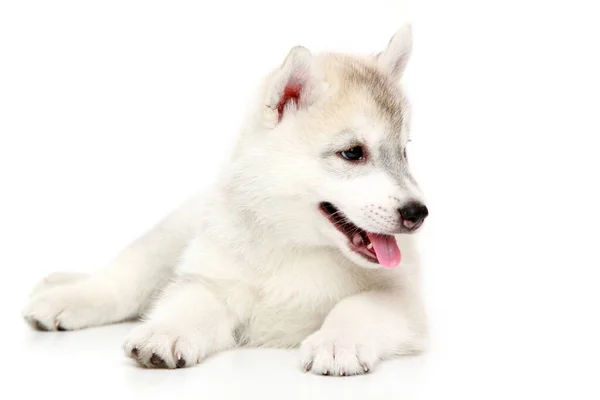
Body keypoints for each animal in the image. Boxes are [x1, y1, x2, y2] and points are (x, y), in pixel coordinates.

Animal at [22, 25, 426, 376]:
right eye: (353, 153)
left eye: (405, 152)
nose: (418, 213)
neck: (293, 246)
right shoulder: (215, 283)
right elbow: (190, 303)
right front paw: (165, 333)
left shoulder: (404, 299)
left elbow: (357, 305)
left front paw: (338, 342)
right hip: (173, 236)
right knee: (123, 281)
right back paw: (64, 296)